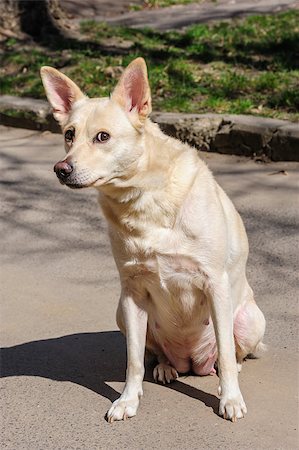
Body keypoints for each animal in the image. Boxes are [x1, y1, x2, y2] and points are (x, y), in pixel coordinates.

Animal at [40, 56, 268, 422]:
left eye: (102, 137)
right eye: (69, 135)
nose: (61, 169)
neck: (143, 199)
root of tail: (191, 362)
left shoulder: (215, 283)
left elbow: (227, 355)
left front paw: (230, 399)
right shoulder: (133, 294)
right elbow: (133, 360)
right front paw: (127, 400)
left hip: (250, 319)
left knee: (229, 354)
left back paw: (225, 368)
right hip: (121, 312)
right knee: (157, 354)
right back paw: (165, 367)